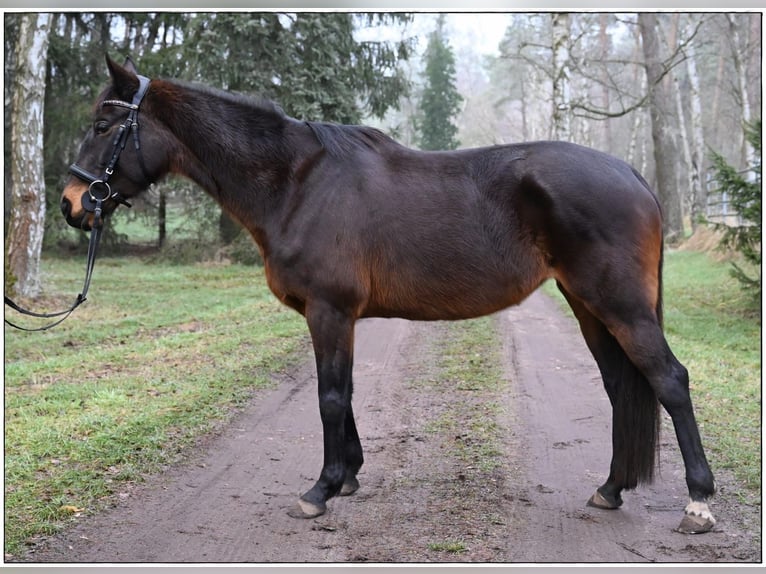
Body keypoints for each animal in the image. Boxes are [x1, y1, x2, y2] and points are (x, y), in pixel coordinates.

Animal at [61, 56, 720, 536]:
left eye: (103, 126)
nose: (72, 203)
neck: (297, 184)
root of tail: (631, 174)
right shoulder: (338, 317)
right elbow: (344, 392)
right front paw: (348, 477)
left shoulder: (330, 312)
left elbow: (329, 397)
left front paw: (320, 490)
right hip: (589, 308)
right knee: (620, 387)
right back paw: (610, 490)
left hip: (620, 306)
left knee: (670, 381)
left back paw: (698, 503)